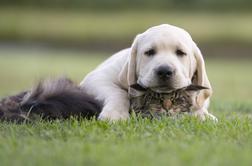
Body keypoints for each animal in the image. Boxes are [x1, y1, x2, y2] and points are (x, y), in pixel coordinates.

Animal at [80, 24, 217, 120]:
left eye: (180, 52)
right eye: (149, 52)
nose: (164, 71)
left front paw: (201, 114)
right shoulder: (97, 78)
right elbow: (119, 92)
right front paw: (115, 114)